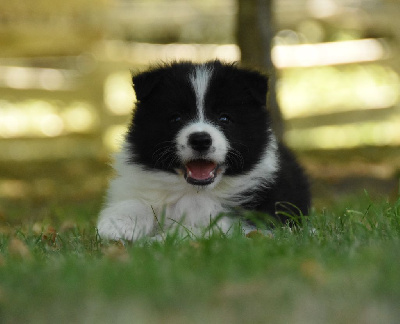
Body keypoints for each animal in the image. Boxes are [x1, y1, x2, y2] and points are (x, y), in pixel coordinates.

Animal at [97, 60, 310, 240]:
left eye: (225, 118)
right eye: (176, 118)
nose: (200, 140)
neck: (196, 192)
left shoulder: (252, 220)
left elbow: (205, 228)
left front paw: (161, 239)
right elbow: (138, 202)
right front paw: (117, 225)